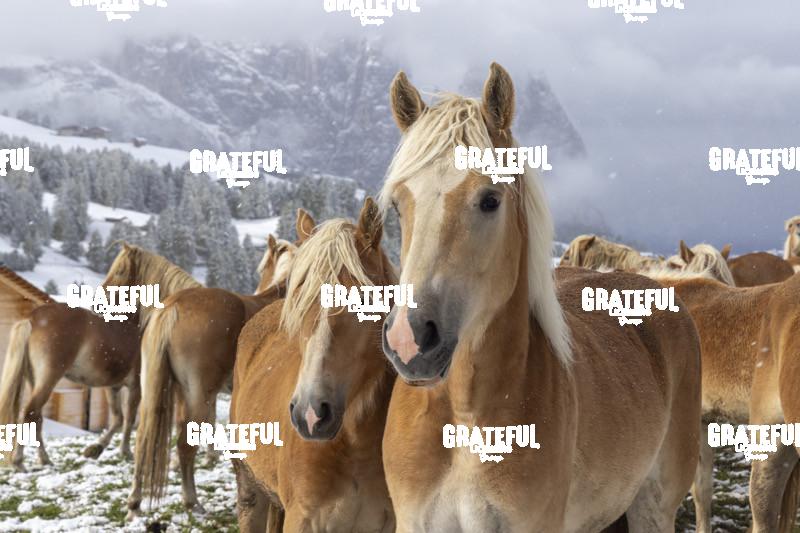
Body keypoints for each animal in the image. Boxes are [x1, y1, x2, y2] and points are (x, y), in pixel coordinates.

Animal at [0, 243, 199, 471]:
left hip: (35, 380)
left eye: (120, 270)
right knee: (30, 413)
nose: (99, 300)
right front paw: (125, 451)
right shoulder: (136, 387)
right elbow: (129, 419)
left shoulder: (112, 387)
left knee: (37, 417)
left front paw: (95, 449)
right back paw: (19, 462)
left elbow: (118, 419)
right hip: (48, 378)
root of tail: (32, 319)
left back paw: (44, 459)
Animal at [126, 220, 304, 518]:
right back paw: (192, 501)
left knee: (143, 441)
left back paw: (135, 503)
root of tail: (172, 307)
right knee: (185, 445)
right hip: (198, 395)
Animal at [231, 198, 396, 533]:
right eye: (298, 303)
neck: (354, 442)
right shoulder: (304, 520)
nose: (310, 413)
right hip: (250, 490)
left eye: (363, 302)